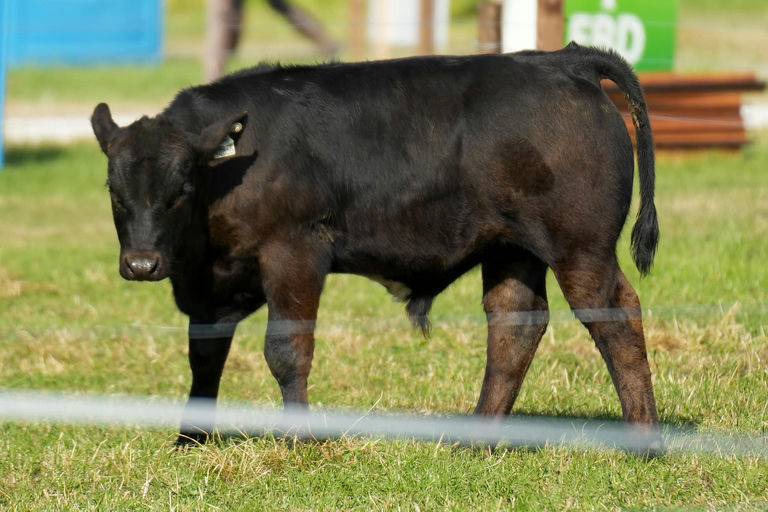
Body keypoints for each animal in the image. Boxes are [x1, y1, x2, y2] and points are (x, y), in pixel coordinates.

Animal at [91, 43, 660, 448]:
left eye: (182, 188)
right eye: (114, 192)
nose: (141, 263)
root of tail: (562, 60)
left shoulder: (294, 252)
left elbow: (287, 350)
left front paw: (298, 440)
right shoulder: (212, 286)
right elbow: (205, 356)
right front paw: (189, 441)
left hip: (579, 248)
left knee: (616, 315)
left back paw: (643, 439)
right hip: (511, 249)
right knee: (515, 325)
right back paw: (479, 440)